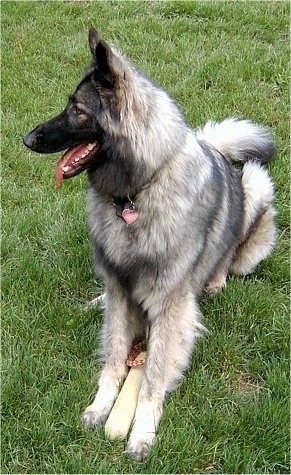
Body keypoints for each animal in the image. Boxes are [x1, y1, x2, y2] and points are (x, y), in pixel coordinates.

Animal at [24, 27, 278, 462]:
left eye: (77, 109)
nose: (26, 139)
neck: (136, 194)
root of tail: (220, 151)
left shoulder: (171, 308)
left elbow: (152, 376)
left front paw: (141, 431)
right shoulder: (120, 291)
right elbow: (113, 356)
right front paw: (100, 406)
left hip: (256, 184)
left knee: (230, 259)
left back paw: (216, 280)